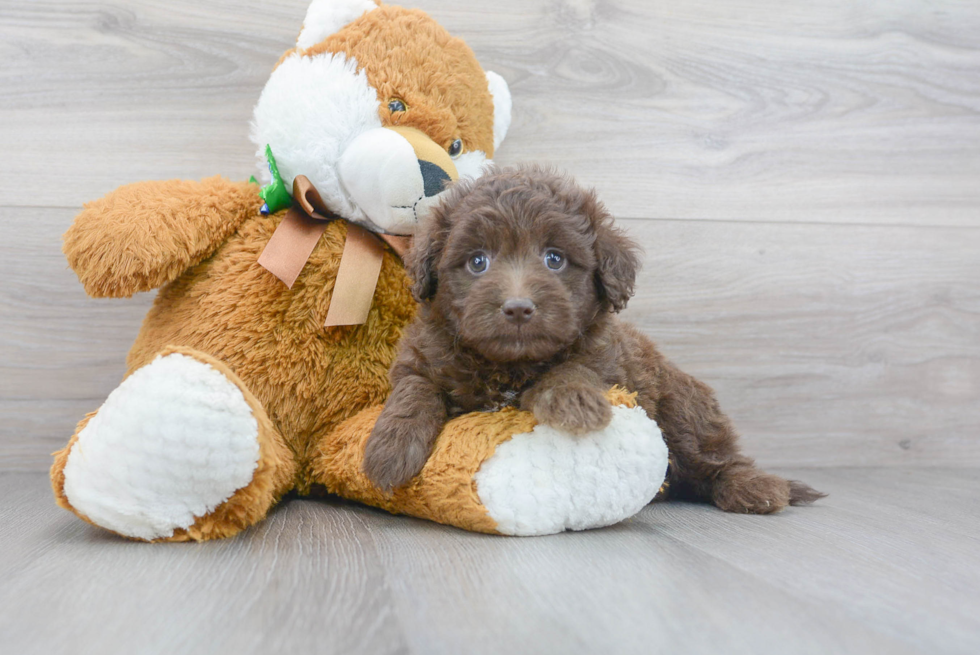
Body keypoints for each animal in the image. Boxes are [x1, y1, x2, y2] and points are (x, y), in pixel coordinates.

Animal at [364, 167, 824, 516]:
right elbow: (414, 390)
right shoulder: (422, 356)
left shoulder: (607, 360)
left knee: (715, 461)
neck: (509, 365)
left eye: (554, 258)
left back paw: (756, 488)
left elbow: (574, 368)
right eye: (478, 262)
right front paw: (390, 449)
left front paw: (575, 403)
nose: (518, 308)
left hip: (683, 410)